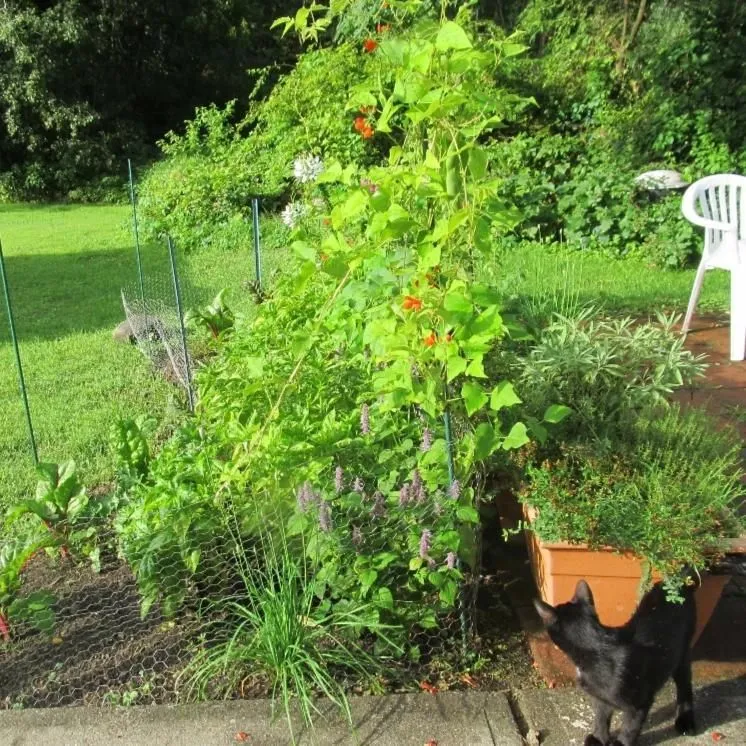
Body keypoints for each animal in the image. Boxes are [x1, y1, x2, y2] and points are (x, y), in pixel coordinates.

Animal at [532, 576, 696, 744]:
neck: (596, 645)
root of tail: (677, 582)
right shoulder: (600, 697)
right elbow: (601, 717)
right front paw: (599, 738)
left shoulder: (639, 704)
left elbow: (630, 728)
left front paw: (620, 743)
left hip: (681, 654)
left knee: (684, 684)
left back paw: (685, 719)